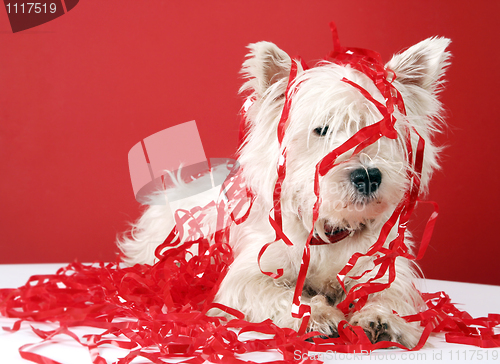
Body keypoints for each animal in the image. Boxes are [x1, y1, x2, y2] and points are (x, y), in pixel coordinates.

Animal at [119, 33, 452, 346]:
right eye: (322, 129)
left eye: (383, 130)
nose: (368, 176)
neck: (328, 230)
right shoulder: (250, 275)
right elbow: (277, 295)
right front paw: (317, 315)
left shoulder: (383, 268)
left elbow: (391, 296)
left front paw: (382, 318)